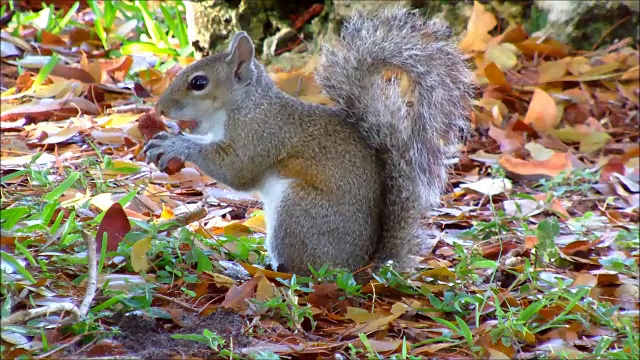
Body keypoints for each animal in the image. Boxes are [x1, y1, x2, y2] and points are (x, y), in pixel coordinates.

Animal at [145, 7, 476, 274]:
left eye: (199, 82)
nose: (160, 109)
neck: (244, 104)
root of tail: (358, 267)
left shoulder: (261, 133)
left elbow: (236, 171)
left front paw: (175, 144)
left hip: (298, 210)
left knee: (301, 270)